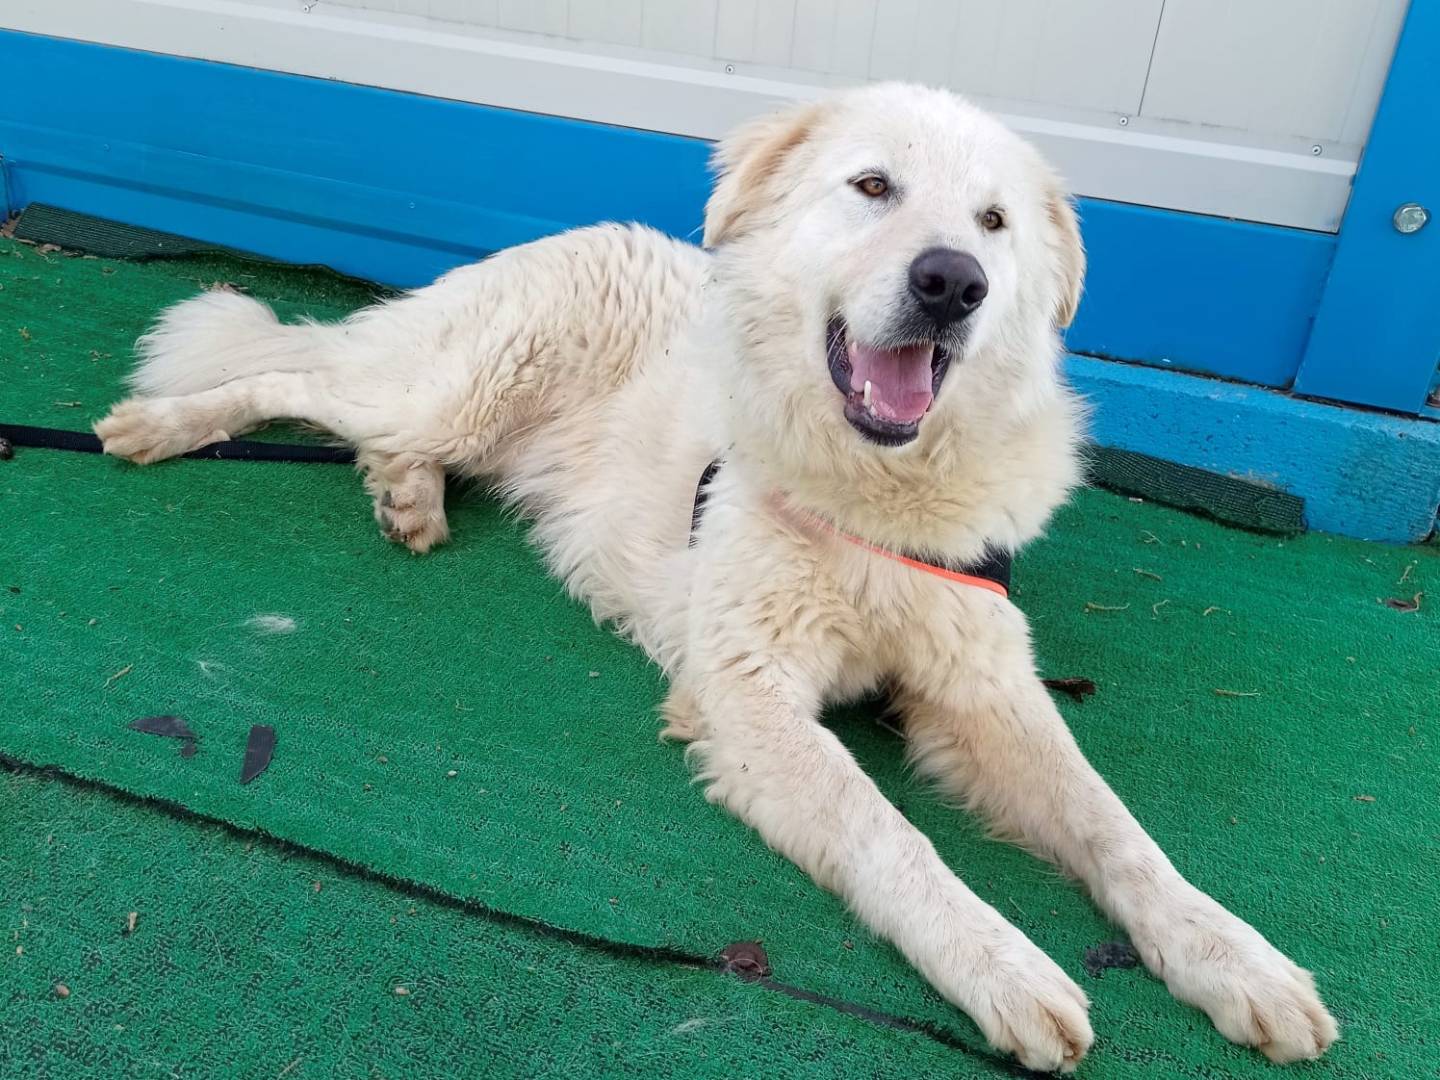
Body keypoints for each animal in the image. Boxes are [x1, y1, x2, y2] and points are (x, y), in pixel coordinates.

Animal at [95, 83, 1336, 1071]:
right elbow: (895, 839)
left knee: (377, 433)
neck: (872, 490)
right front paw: (1003, 965)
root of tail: (556, 236)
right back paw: (170, 426)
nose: (954, 282)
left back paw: (408, 497)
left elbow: (1116, 830)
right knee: (300, 379)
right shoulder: (750, 696)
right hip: (461, 385)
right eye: (873, 186)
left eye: (994, 222)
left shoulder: (980, 691)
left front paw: (1237, 960)